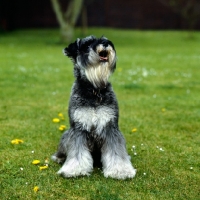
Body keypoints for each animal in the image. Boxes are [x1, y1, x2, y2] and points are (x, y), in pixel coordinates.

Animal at [51, 36, 136, 180]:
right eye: (87, 44)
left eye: (105, 39)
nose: (106, 43)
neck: (94, 90)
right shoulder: (78, 128)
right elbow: (77, 152)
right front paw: (74, 169)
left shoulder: (111, 127)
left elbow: (116, 152)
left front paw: (120, 170)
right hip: (66, 135)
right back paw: (59, 157)